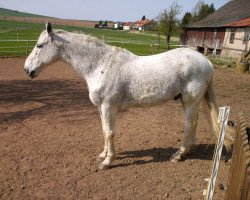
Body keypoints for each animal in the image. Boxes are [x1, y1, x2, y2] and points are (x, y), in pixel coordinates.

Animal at [23, 22, 234, 170]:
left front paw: (108, 161)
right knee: (194, 124)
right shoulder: (101, 109)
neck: (99, 64)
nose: (27, 70)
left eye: (39, 46)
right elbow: (104, 131)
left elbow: (110, 132)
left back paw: (178, 155)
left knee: (189, 125)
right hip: (186, 101)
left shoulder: (109, 107)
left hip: (190, 102)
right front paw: (103, 155)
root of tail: (206, 61)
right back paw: (187, 152)